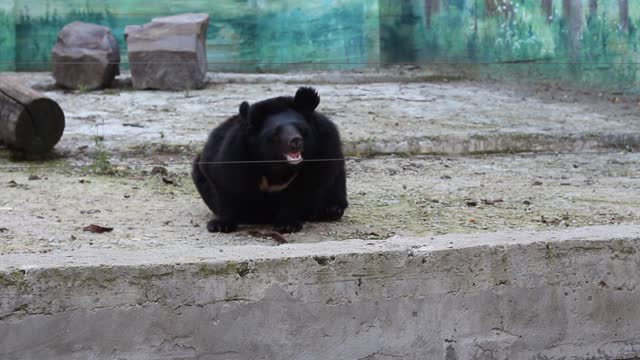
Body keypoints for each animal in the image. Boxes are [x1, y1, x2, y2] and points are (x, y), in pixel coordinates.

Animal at [192, 87, 348, 233]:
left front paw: (287, 225)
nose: (295, 141)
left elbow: (302, 190)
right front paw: (220, 225)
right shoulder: (233, 155)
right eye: (276, 133)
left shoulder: (323, 150)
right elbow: (225, 185)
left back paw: (330, 210)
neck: (277, 164)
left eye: (300, 128)